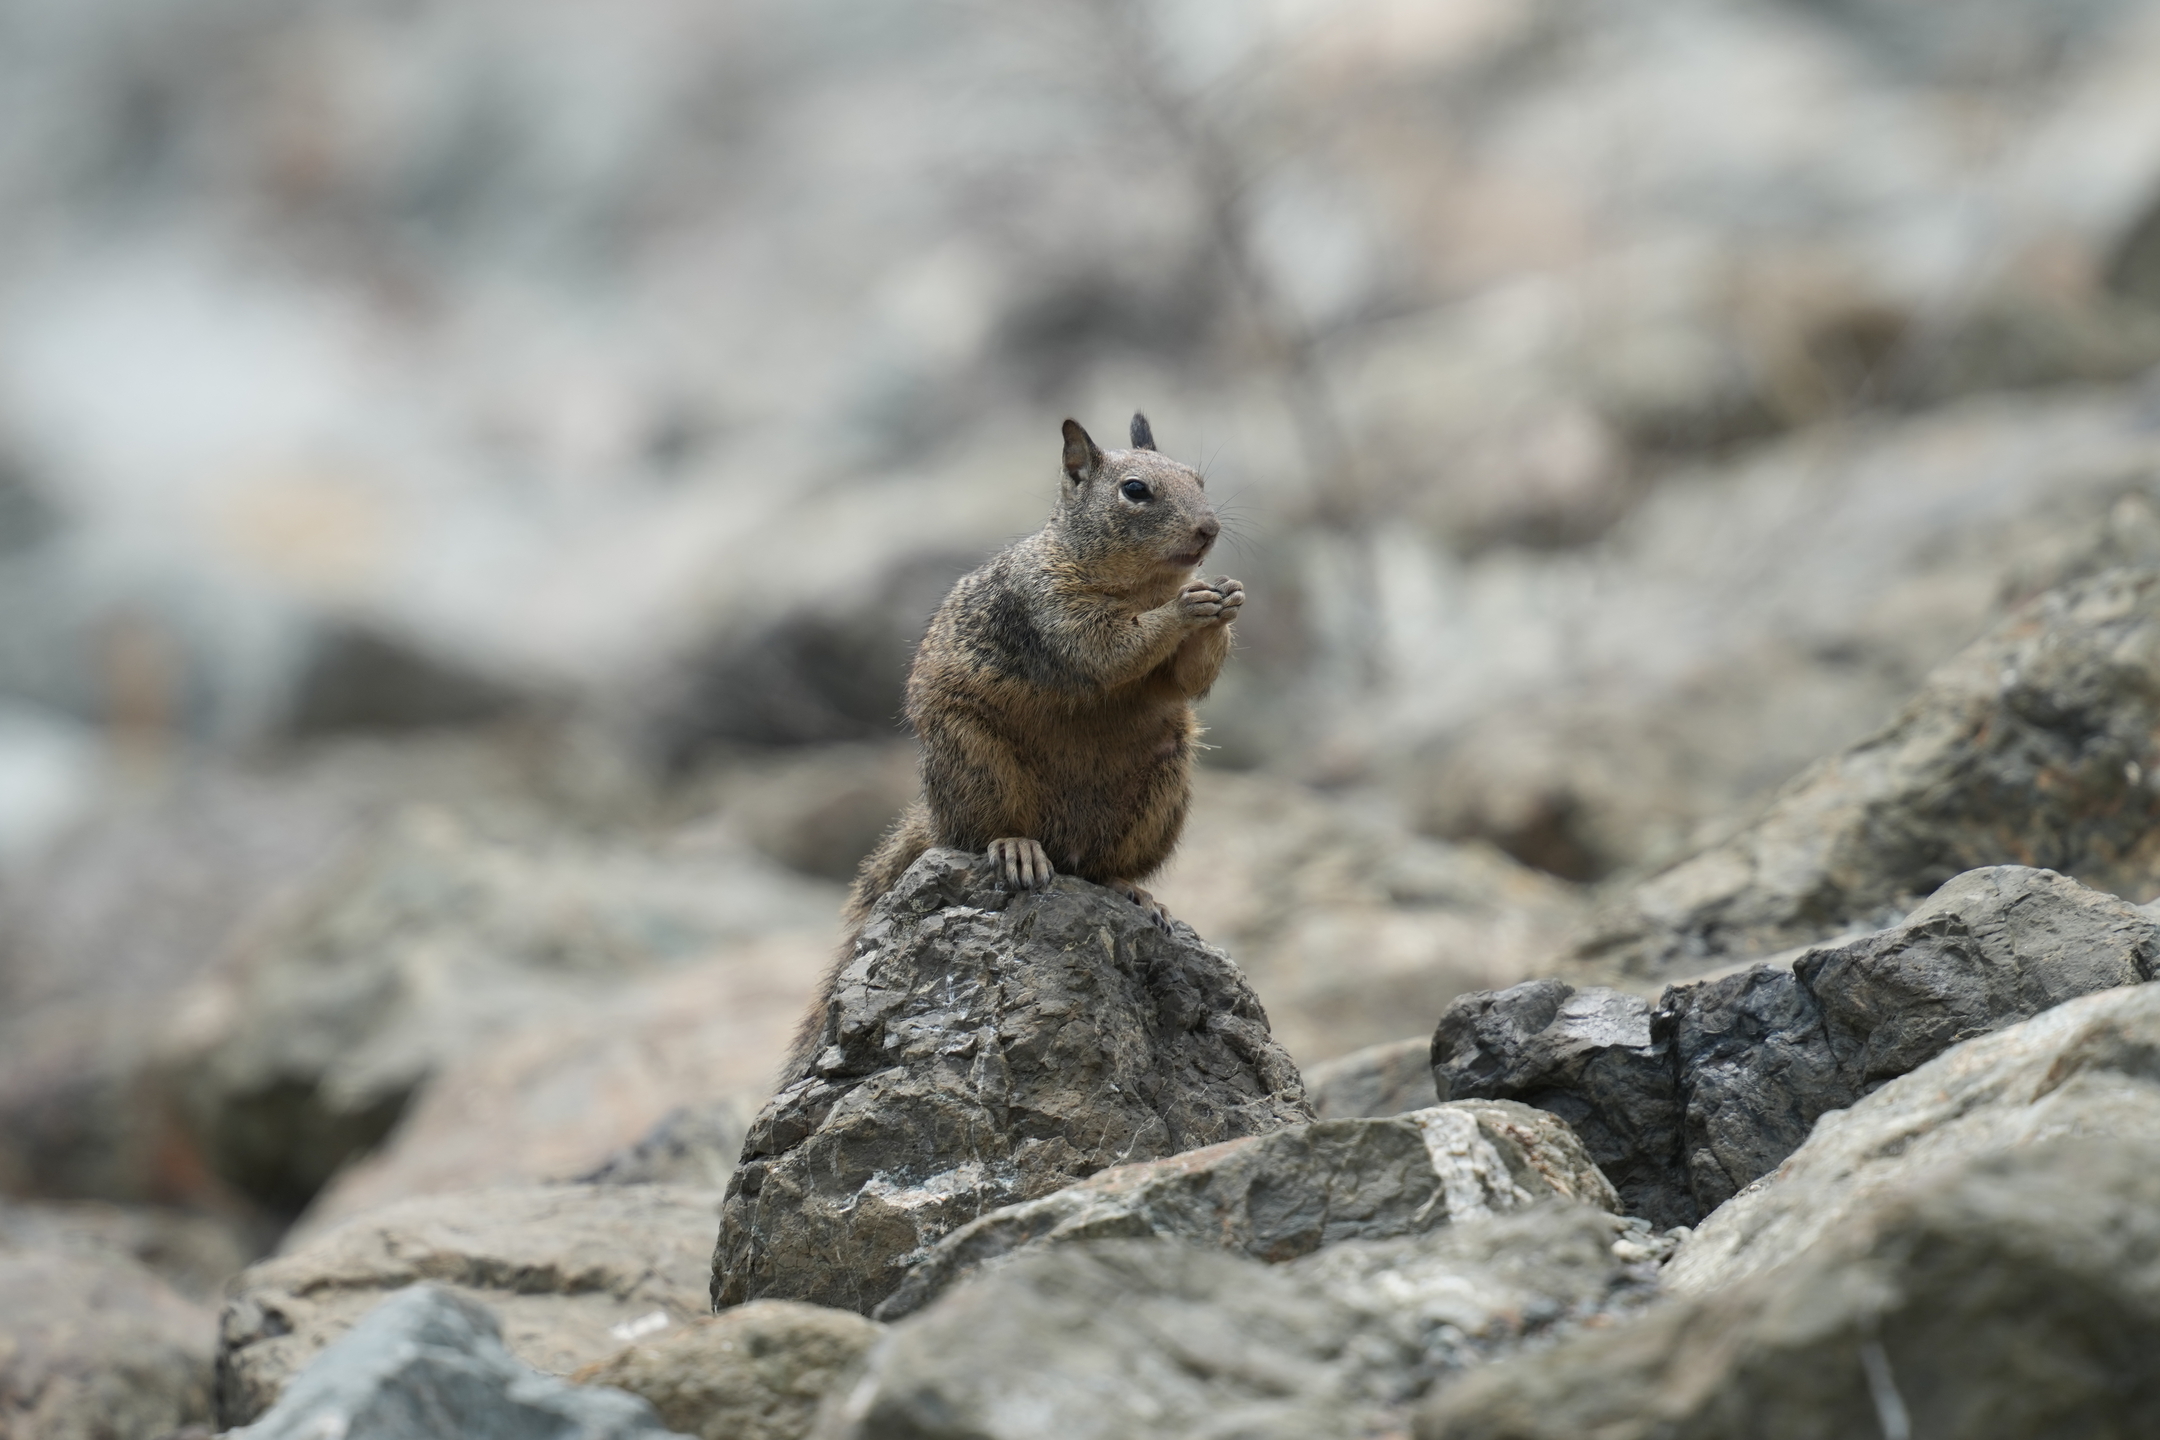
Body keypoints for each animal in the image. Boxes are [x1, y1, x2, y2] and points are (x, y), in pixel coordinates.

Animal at [784, 412, 1240, 1076]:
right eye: (1134, 491)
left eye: (1198, 478)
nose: (1209, 529)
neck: (1136, 585)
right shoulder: (1046, 608)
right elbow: (1106, 650)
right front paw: (1186, 607)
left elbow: (1187, 680)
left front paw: (1226, 600)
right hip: (977, 763)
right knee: (982, 835)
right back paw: (1017, 849)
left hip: (1161, 791)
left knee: (1097, 866)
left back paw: (1126, 887)